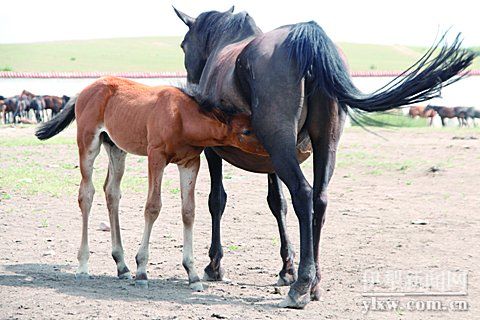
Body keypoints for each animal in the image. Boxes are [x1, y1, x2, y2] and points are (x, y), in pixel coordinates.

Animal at [173, 6, 476, 308]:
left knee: (304, 194)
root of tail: (306, 38)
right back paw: (314, 282)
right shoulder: (268, 160)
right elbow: (277, 204)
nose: (190, 83)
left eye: (183, 45)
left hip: (282, 145)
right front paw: (286, 268)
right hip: (323, 145)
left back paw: (302, 286)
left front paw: (215, 265)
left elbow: (218, 200)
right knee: (319, 199)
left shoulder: (216, 151)